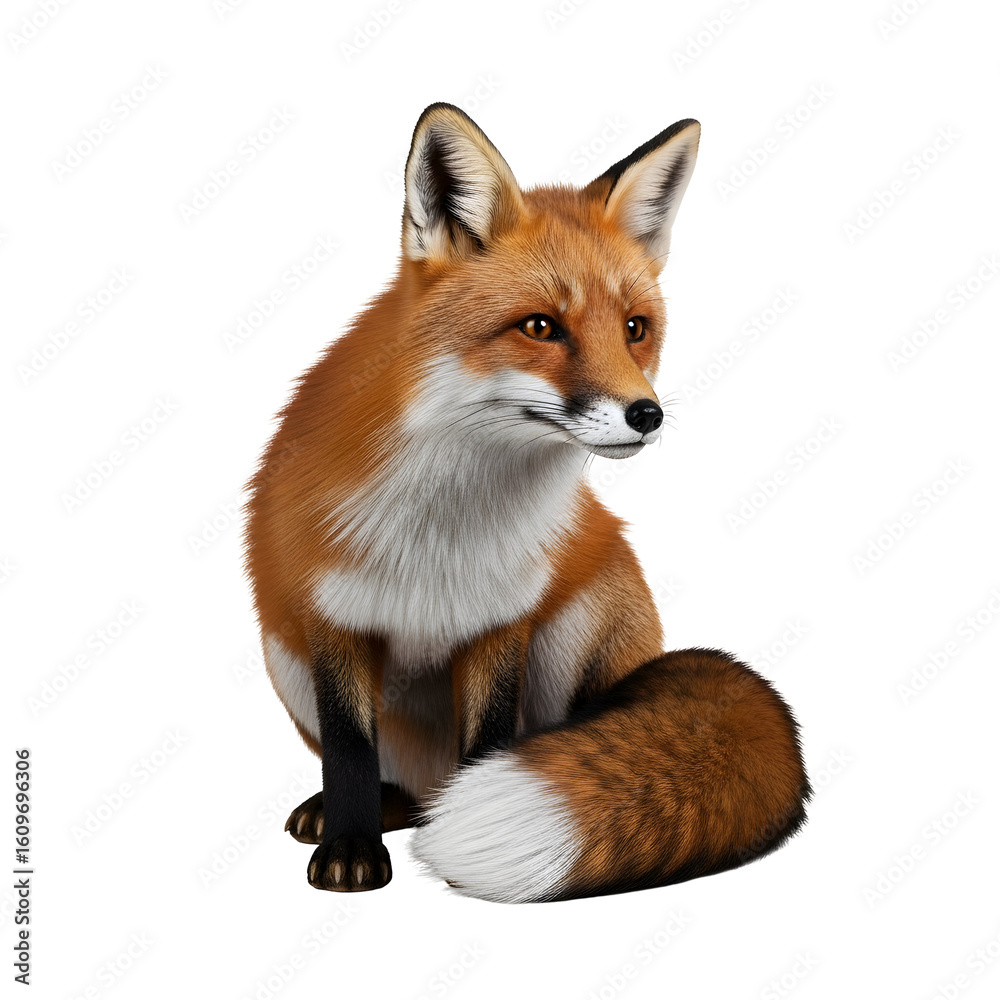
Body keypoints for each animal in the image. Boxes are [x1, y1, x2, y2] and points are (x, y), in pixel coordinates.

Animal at [243, 102, 810, 903]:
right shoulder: (331, 619)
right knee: (393, 782)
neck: (445, 524)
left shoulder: (501, 620)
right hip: (281, 651)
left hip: (583, 624)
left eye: (635, 329)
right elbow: (350, 752)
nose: (647, 414)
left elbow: (489, 738)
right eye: (541, 326)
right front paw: (350, 849)